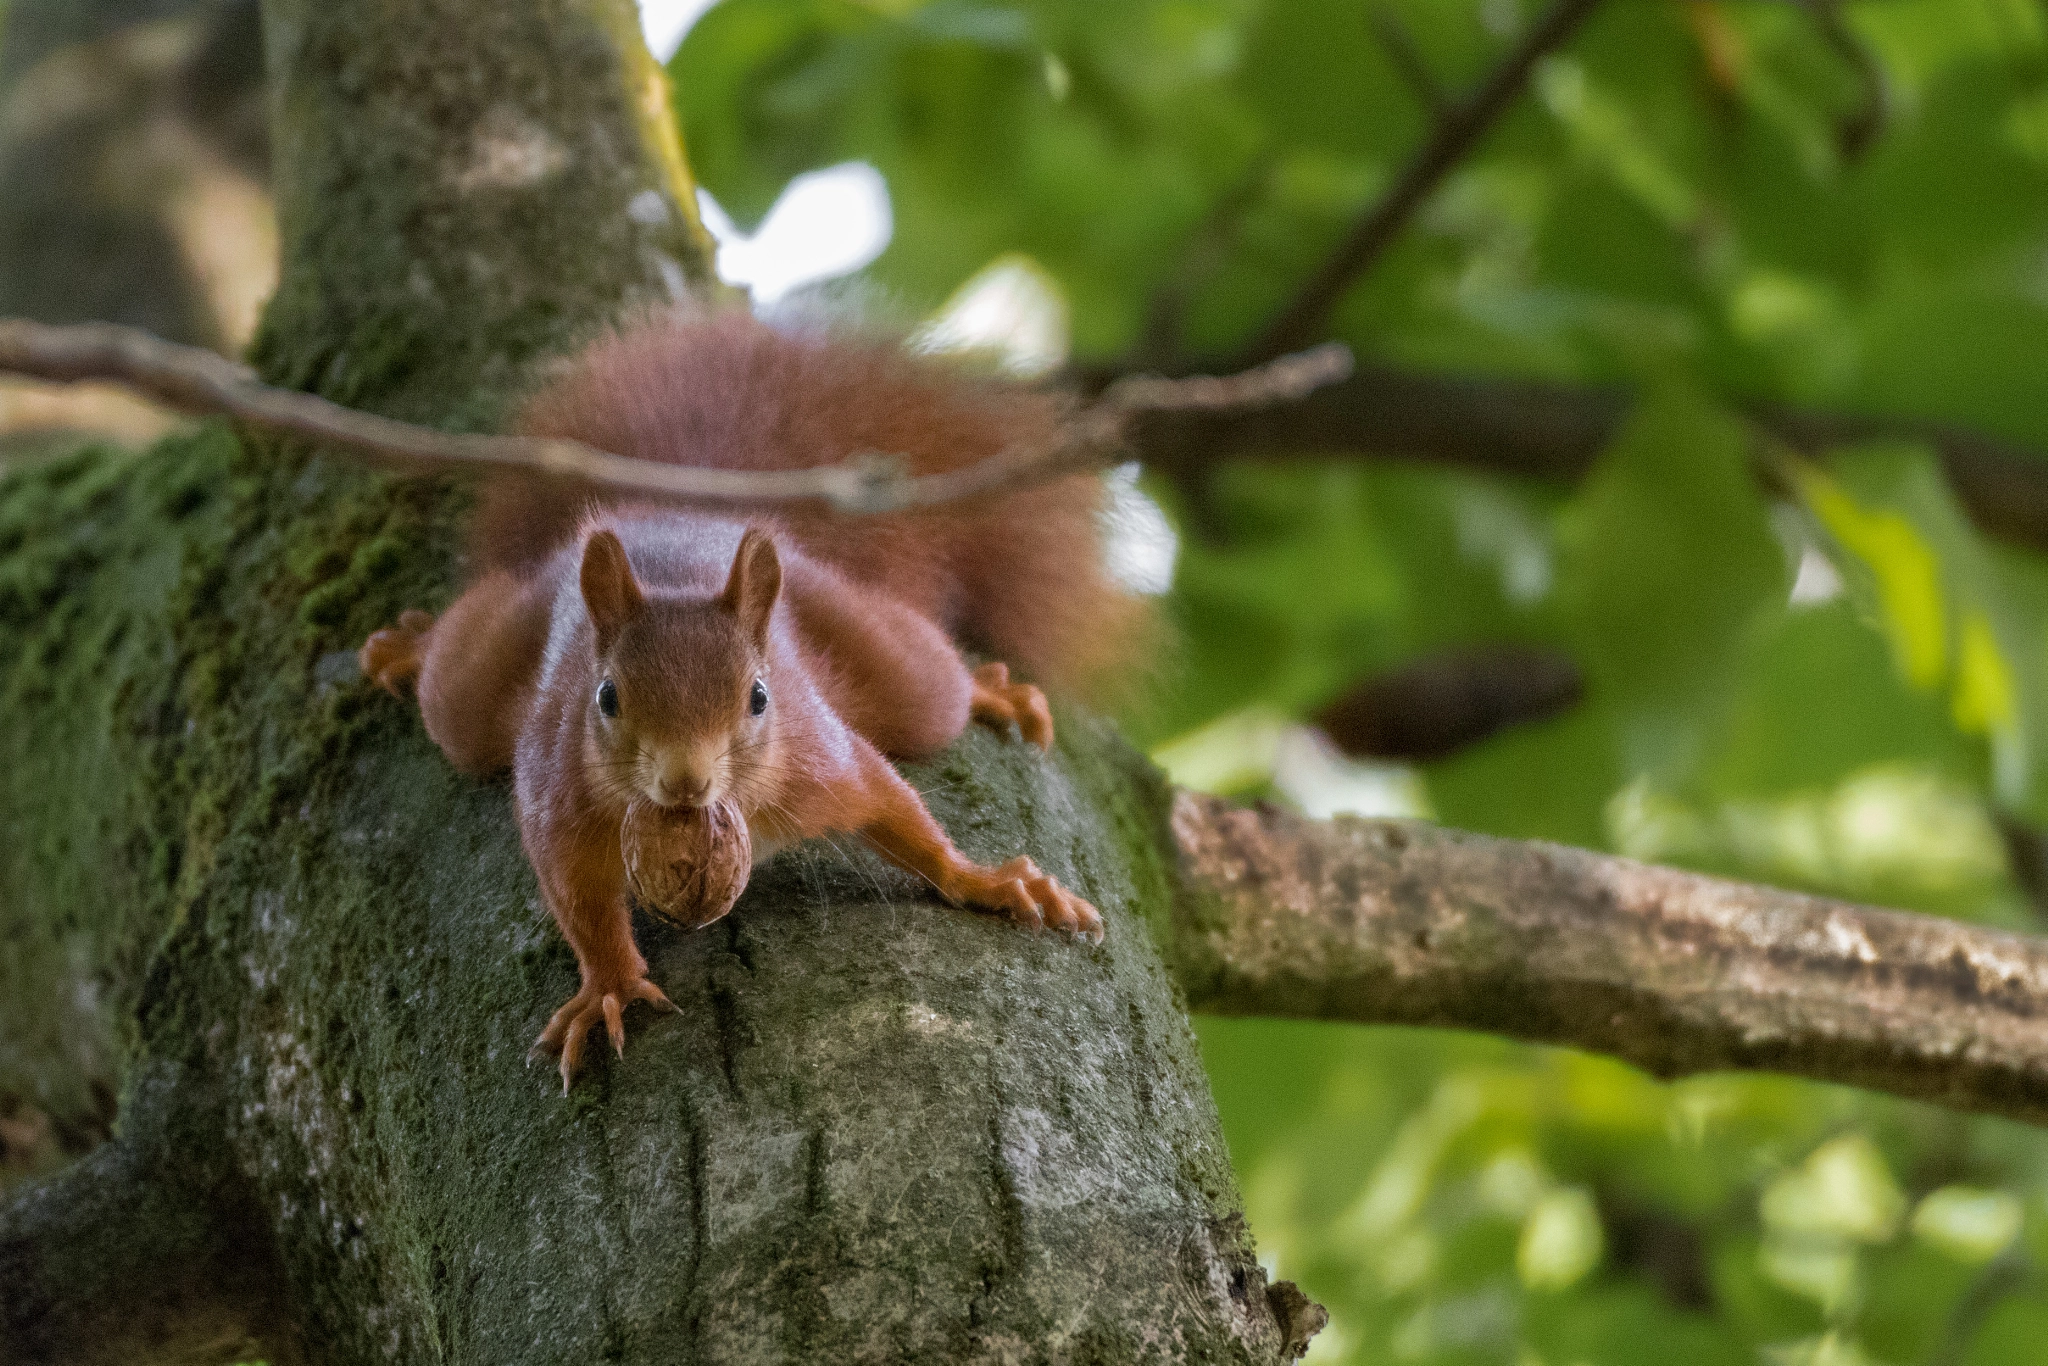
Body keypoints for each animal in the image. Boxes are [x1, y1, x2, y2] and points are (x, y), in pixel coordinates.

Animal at [357, 310, 1148, 1090]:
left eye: (760, 697)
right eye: (606, 697)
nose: (685, 781)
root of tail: (673, 510)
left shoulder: (820, 764)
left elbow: (896, 807)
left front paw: (986, 882)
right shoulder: (561, 794)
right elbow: (578, 897)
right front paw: (608, 984)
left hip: (873, 644)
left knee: (931, 689)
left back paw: (991, 688)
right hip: (482, 675)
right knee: (454, 688)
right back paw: (411, 648)